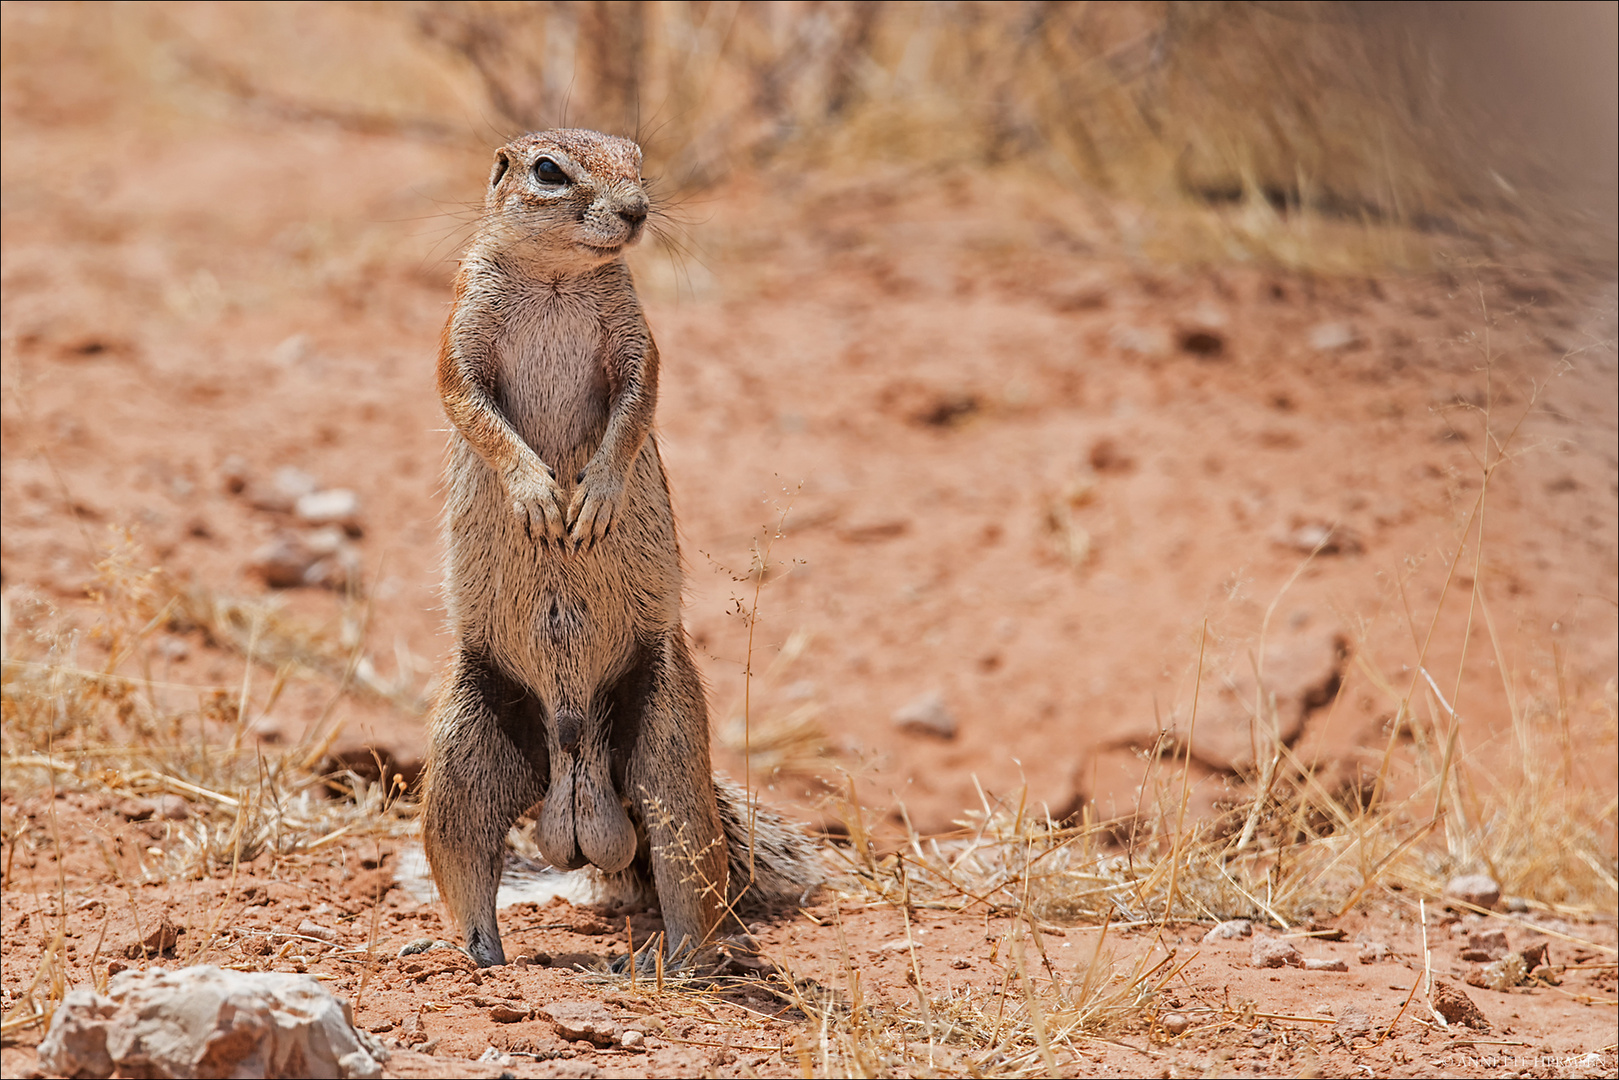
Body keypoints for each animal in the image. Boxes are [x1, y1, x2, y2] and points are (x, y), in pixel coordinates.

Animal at [420, 131, 815, 965]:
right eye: (548, 171)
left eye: (636, 157)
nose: (636, 210)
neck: (557, 280)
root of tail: (574, 767)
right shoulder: (459, 329)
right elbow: (464, 398)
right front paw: (538, 495)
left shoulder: (636, 339)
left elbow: (639, 400)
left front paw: (593, 493)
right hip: (462, 747)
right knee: (463, 853)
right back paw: (471, 953)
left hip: (668, 747)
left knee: (687, 865)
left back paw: (678, 962)